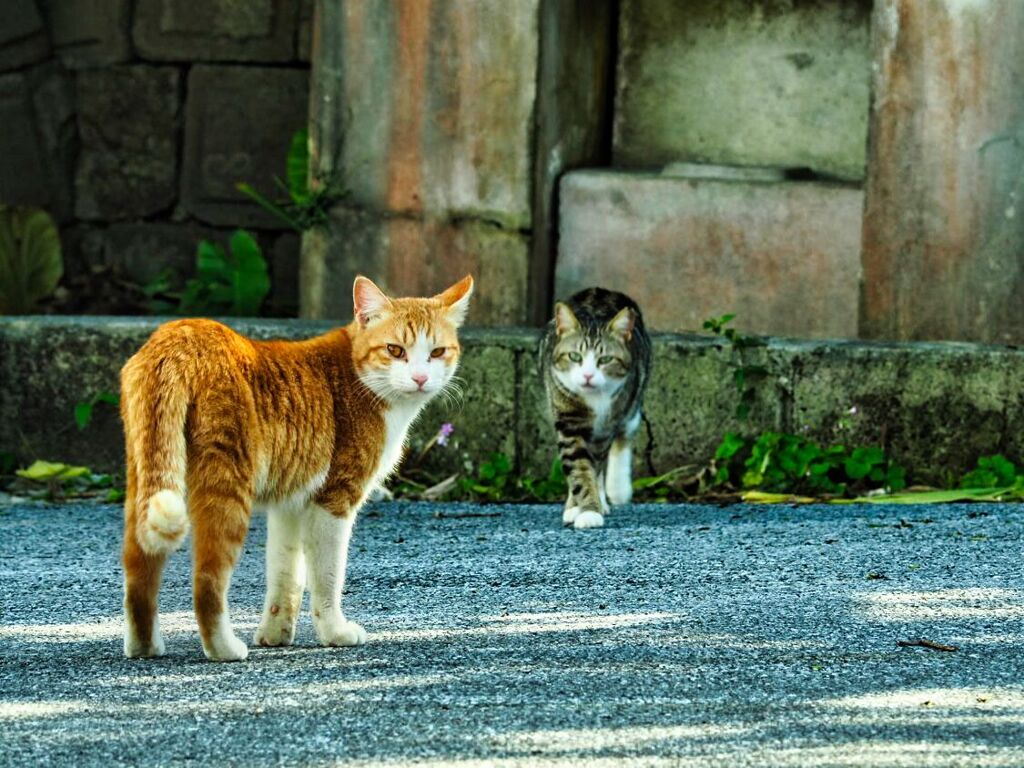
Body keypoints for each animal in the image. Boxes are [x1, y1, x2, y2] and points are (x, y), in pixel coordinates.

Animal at [118, 276, 471, 663]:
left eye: (436, 352)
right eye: (395, 350)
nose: (421, 378)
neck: (359, 378)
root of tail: (179, 336)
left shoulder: (289, 503)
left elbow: (287, 575)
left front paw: (275, 633)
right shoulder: (334, 500)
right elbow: (327, 576)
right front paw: (334, 632)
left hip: (146, 479)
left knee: (138, 570)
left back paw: (144, 647)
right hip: (226, 488)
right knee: (207, 581)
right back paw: (224, 648)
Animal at [540, 288, 651, 528]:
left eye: (605, 359)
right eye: (574, 356)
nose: (588, 375)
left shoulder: (607, 425)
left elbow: (594, 464)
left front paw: (590, 509)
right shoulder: (568, 419)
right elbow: (579, 467)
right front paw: (581, 508)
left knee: (623, 436)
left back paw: (616, 490)